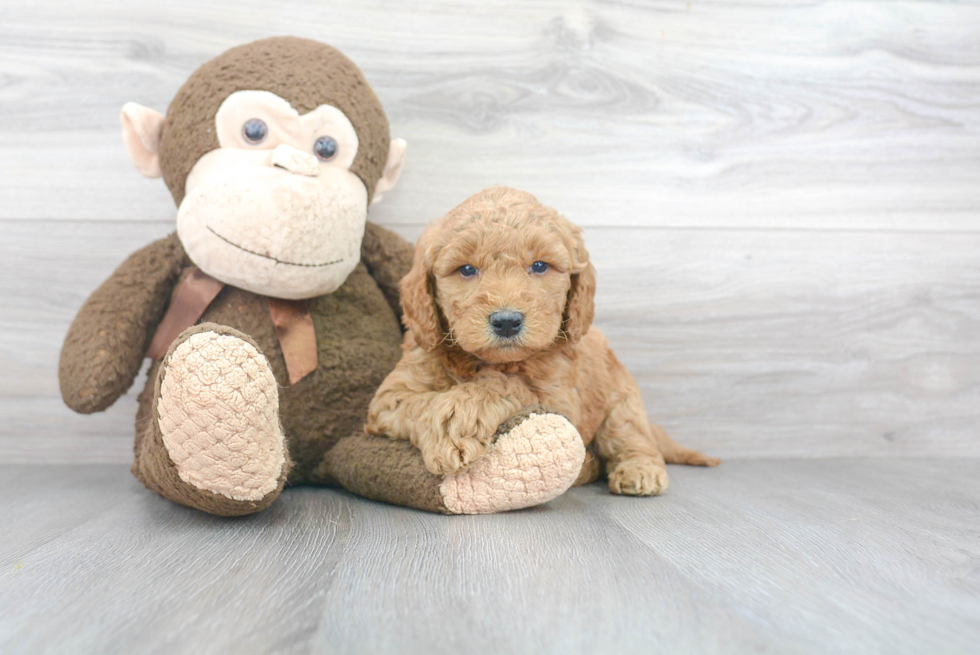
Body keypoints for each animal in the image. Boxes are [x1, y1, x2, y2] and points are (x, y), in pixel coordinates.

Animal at [364, 187, 716, 494]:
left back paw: (639, 470)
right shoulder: (389, 399)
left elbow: (509, 385)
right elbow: (419, 403)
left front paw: (459, 417)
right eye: (466, 269)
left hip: (622, 400)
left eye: (539, 266)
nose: (507, 321)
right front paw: (448, 426)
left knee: (632, 438)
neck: (486, 361)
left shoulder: (561, 399)